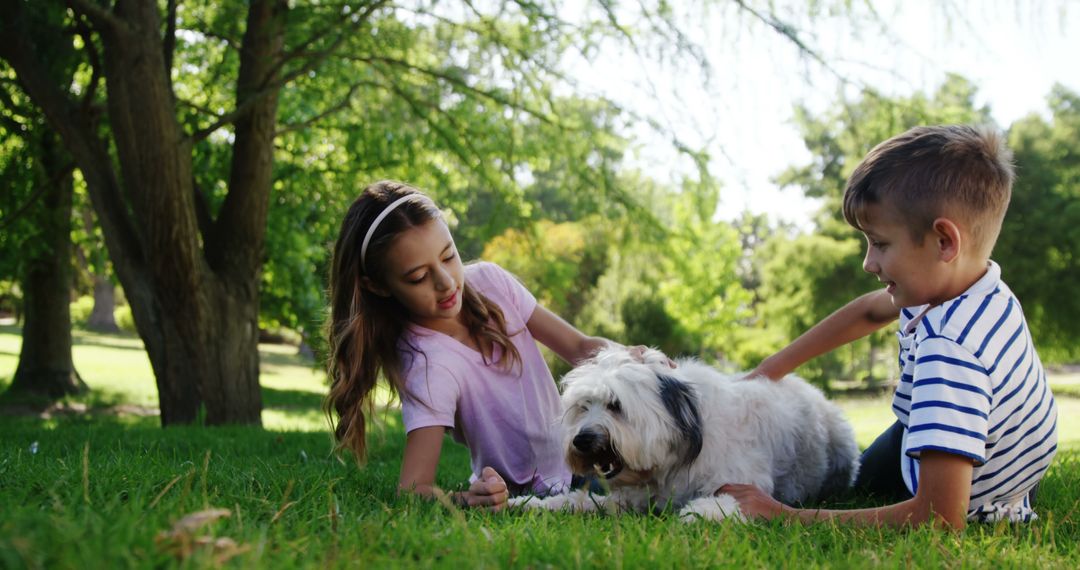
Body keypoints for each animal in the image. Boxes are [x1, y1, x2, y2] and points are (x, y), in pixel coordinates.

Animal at [507, 345, 859, 522]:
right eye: (583, 406)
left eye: (615, 405)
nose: (582, 440)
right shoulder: (630, 498)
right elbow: (578, 500)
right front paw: (529, 503)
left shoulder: (739, 480)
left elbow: (731, 499)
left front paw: (702, 512)